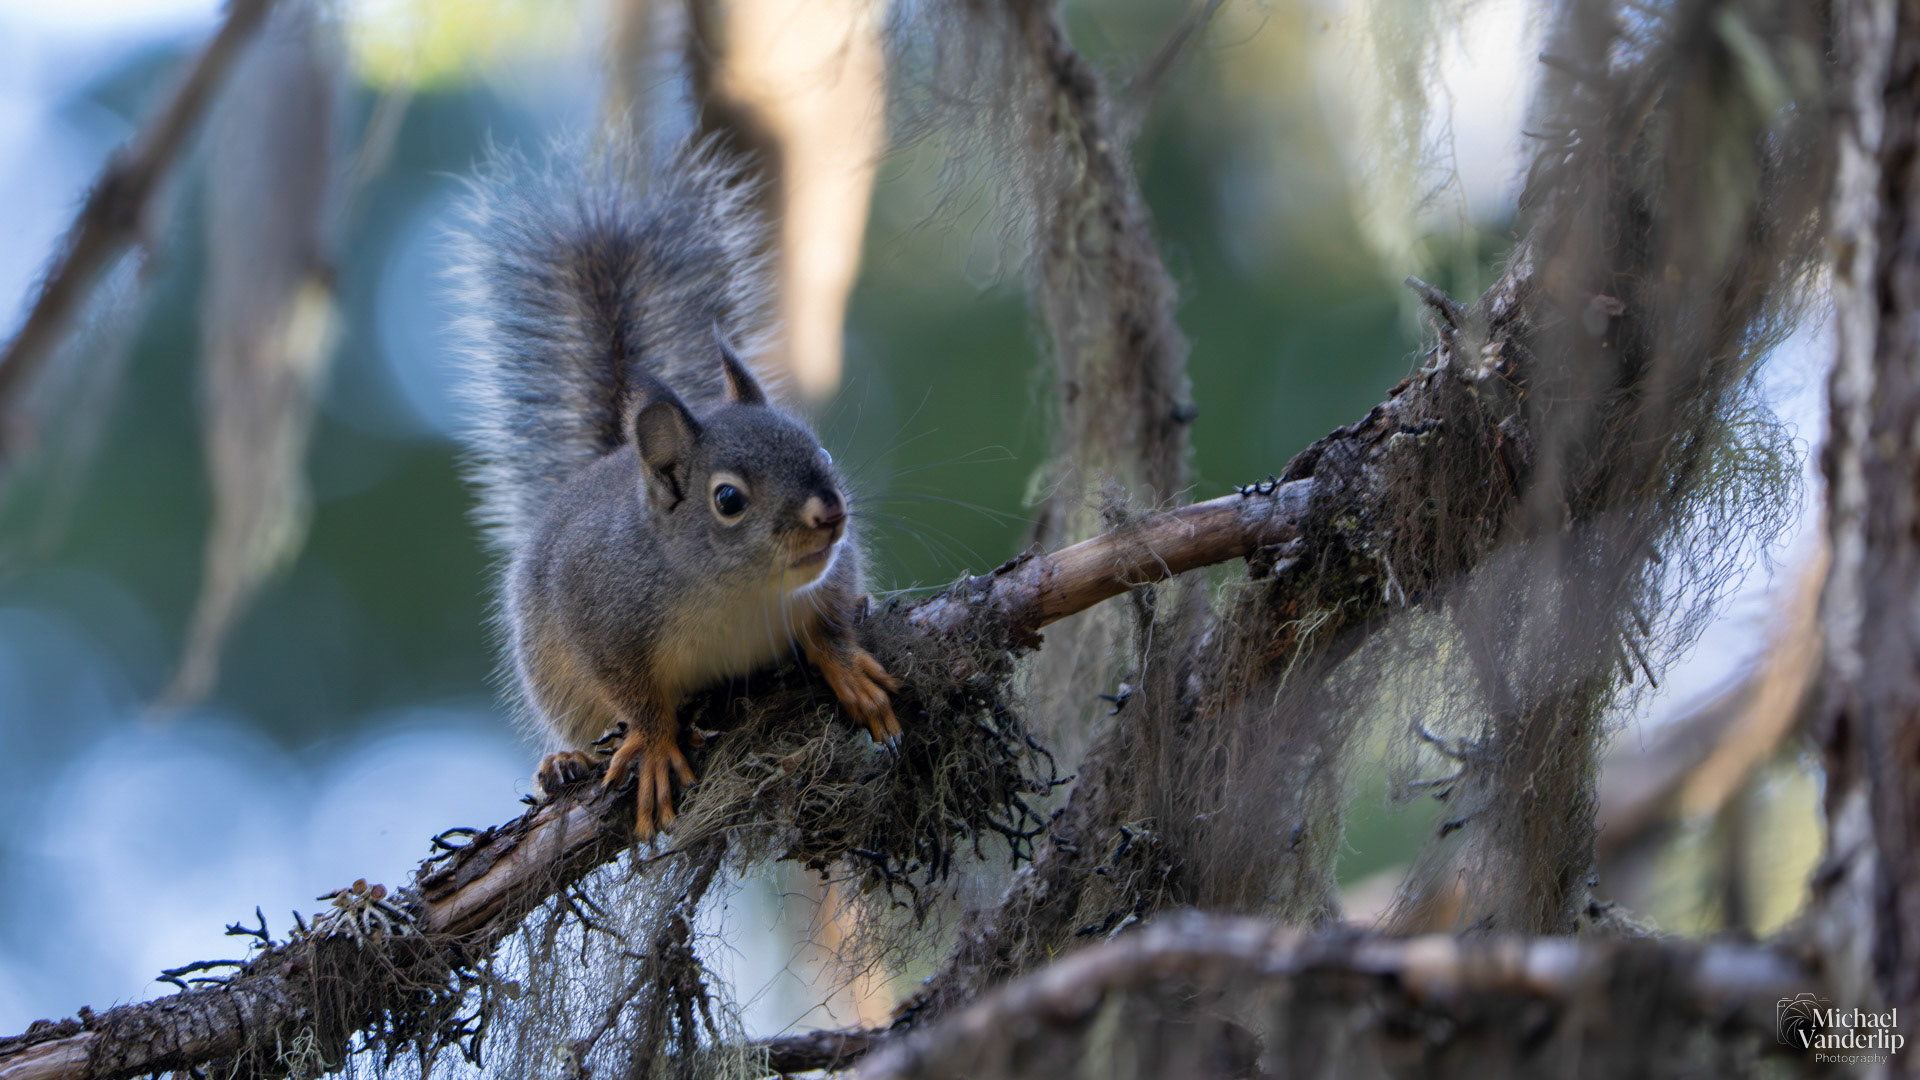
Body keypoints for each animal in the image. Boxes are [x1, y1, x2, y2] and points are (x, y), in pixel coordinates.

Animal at [451, 140, 901, 840]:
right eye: (728, 499)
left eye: (821, 452)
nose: (830, 515)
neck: (735, 591)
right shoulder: (597, 608)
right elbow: (633, 693)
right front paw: (658, 744)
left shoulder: (829, 572)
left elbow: (828, 618)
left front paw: (846, 664)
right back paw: (564, 761)